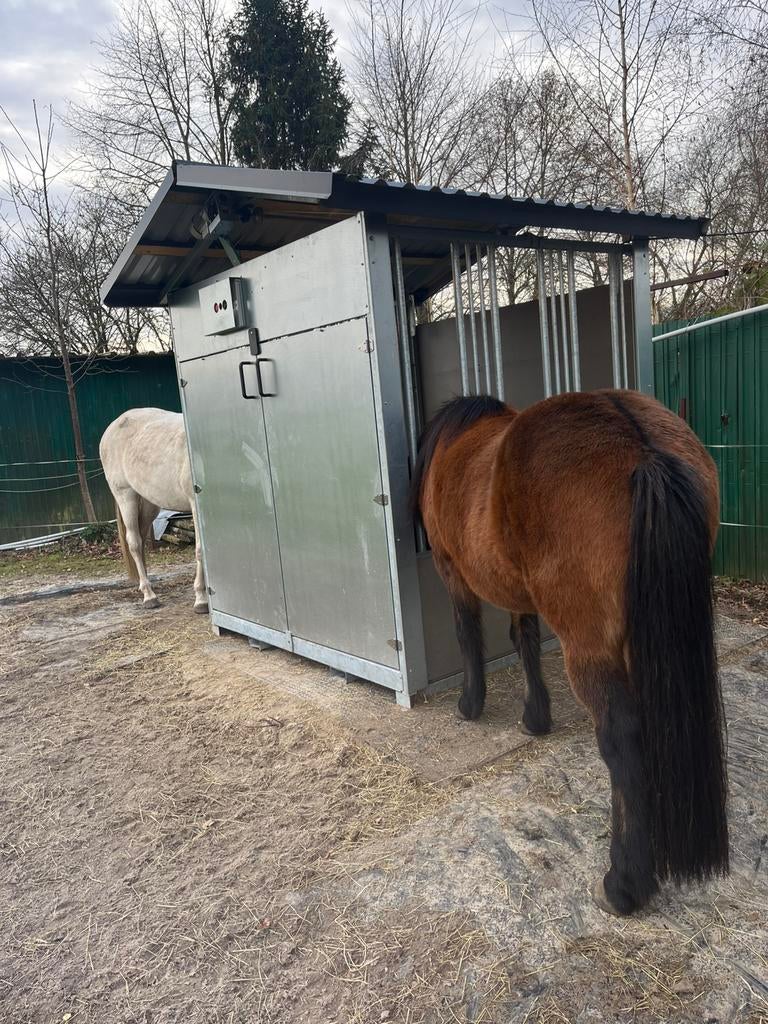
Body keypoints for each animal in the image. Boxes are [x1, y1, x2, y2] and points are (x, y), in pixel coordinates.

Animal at [100, 408, 207, 614]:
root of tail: (114, 425)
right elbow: (200, 550)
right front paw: (201, 599)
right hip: (126, 496)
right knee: (134, 542)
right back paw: (149, 596)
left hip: (149, 504)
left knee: (141, 540)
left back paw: (147, 586)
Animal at [411, 389, 728, 917]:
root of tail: (641, 446)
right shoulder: (520, 593)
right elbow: (523, 641)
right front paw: (535, 717)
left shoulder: (453, 572)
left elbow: (469, 635)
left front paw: (470, 704)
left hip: (590, 648)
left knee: (623, 740)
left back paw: (623, 883)